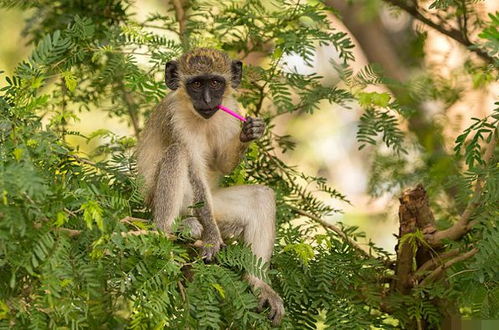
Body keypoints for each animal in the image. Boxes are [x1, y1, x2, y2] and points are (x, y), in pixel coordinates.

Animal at [137, 47, 286, 324]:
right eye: (196, 84)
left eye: (216, 83)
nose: (207, 100)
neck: (201, 118)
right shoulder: (175, 118)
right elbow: (194, 167)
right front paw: (213, 240)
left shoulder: (229, 110)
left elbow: (222, 163)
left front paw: (250, 131)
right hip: (165, 202)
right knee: (177, 154)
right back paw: (169, 229)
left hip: (219, 211)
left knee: (261, 196)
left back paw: (260, 286)